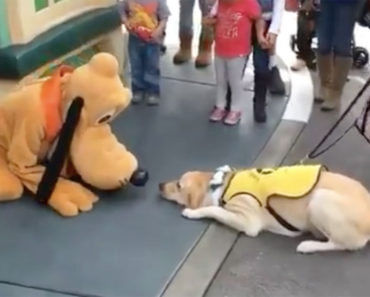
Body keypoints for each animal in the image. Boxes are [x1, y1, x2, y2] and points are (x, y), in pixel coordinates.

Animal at [160, 164, 370, 252]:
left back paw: (308, 246)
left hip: (320, 199)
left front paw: (193, 212)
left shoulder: (247, 219)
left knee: (343, 245)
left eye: (178, 185)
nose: (160, 185)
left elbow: (215, 210)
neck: (220, 185)